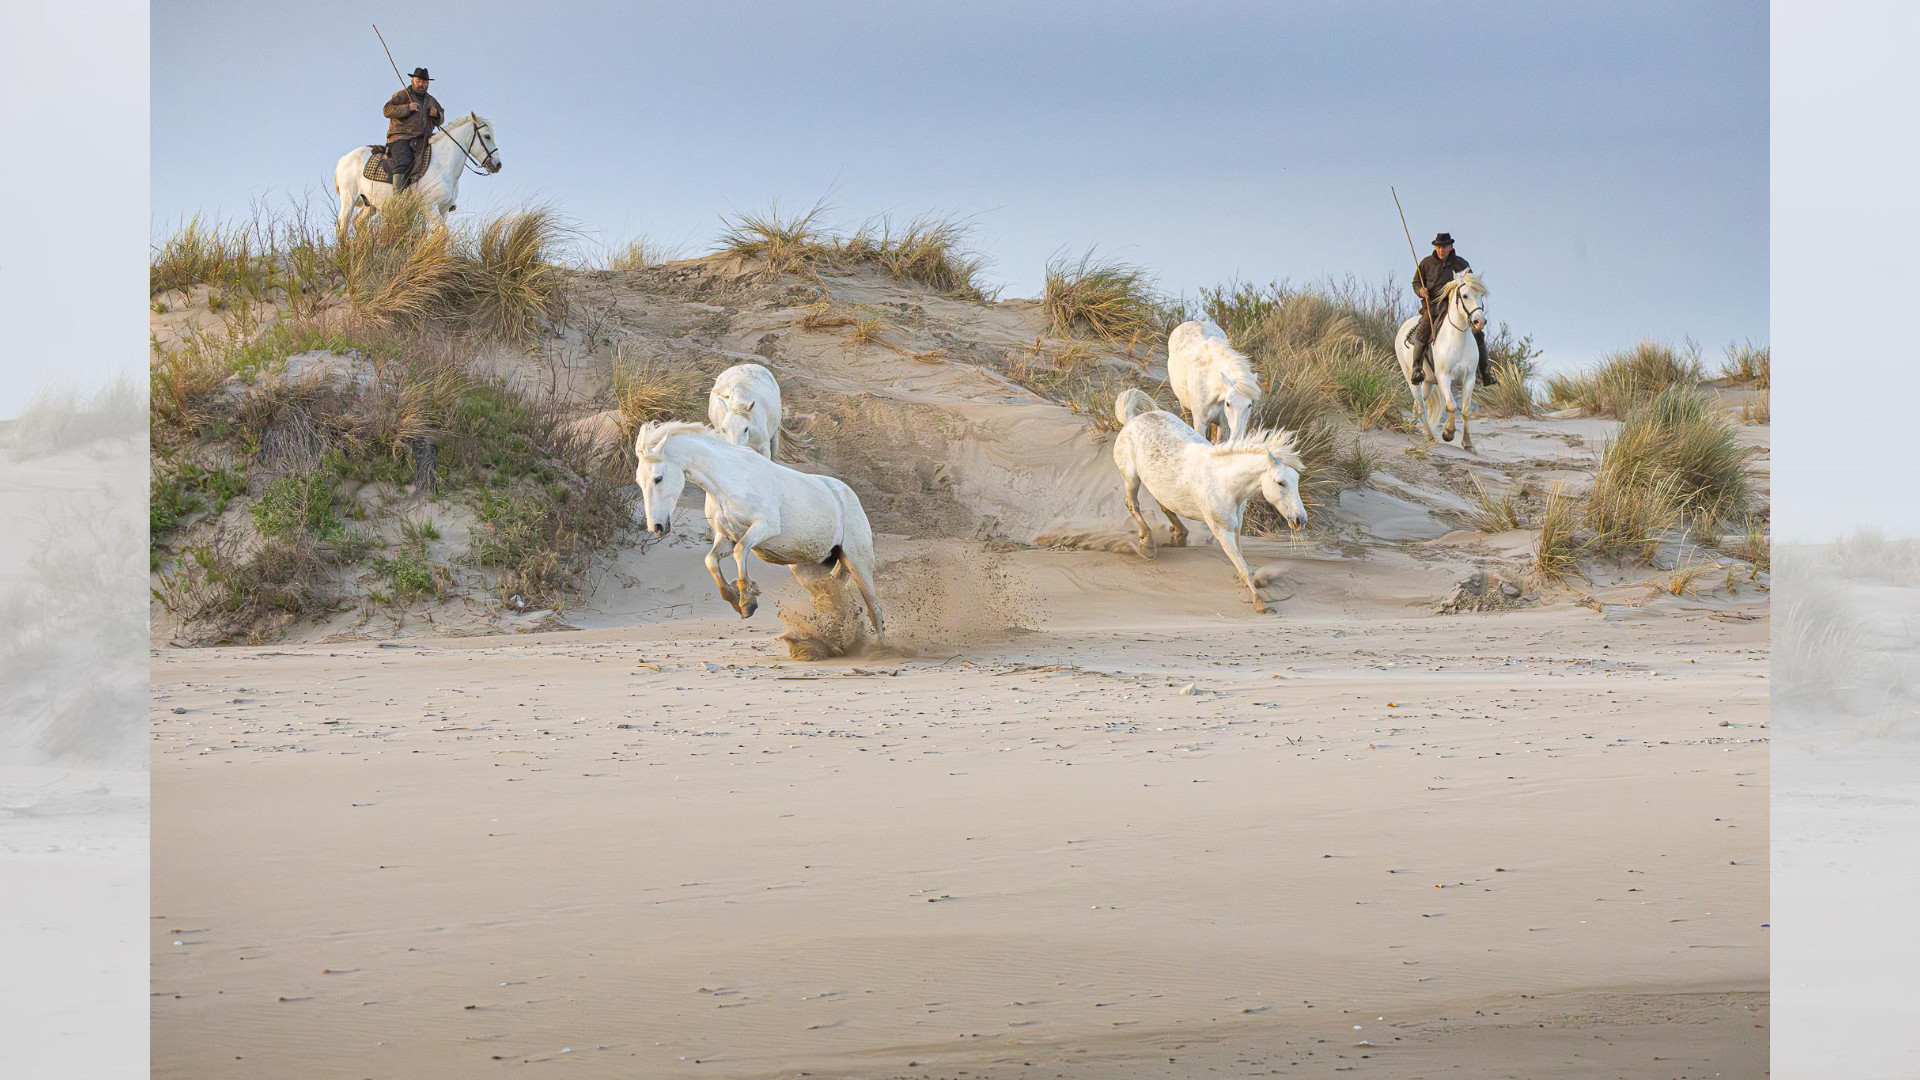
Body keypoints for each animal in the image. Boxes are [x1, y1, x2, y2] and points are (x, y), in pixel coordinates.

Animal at [336, 112, 503, 228]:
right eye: (487, 136)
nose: (498, 164)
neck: (443, 165)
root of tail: (344, 158)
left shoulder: (443, 209)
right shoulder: (429, 206)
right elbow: (441, 232)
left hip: (371, 204)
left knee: (358, 223)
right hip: (349, 198)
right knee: (343, 225)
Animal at [641, 422, 887, 638]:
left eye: (658, 478)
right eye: (640, 481)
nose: (657, 527)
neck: (726, 482)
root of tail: (849, 495)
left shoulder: (765, 526)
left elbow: (741, 551)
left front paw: (747, 601)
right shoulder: (726, 537)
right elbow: (711, 560)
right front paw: (734, 597)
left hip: (858, 563)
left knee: (874, 609)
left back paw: (879, 648)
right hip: (808, 570)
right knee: (831, 603)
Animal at [1113, 386, 1305, 611]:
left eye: (1297, 480)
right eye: (1281, 482)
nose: (1300, 519)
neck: (1225, 482)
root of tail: (1132, 419)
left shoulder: (1237, 526)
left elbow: (1243, 561)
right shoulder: (1222, 532)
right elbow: (1242, 566)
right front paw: (1260, 605)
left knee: (1165, 506)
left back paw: (1180, 533)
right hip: (1131, 478)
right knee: (1132, 504)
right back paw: (1148, 542)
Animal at [1405, 272, 1489, 453]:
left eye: (1481, 295)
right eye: (1465, 295)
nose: (1479, 322)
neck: (1458, 338)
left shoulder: (1469, 378)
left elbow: (1465, 410)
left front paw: (1467, 442)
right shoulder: (1444, 377)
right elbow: (1451, 405)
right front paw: (1448, 433)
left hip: (1428, 383)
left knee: (1418, 405)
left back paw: (1417, 429)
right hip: (1412, 378)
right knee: (1420, 405)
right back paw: (1427, 434)